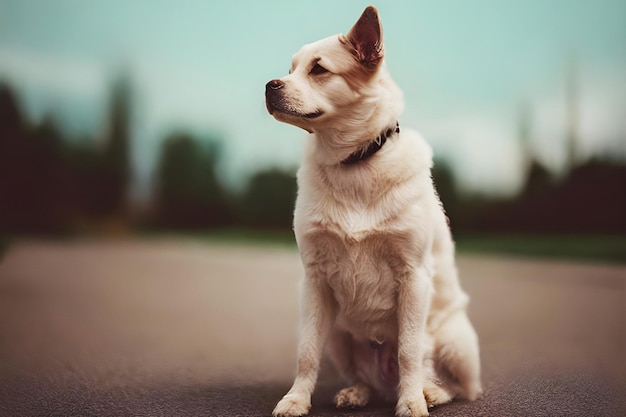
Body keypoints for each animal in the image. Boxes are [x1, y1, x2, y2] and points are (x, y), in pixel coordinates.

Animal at [266, 6, 480, 416]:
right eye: (290, 68)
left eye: (319, 69)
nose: (270, 85)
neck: (354, 163)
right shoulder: (314, 280)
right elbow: (306, 352)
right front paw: (296, 400)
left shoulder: (414, 277)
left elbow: (410, 351)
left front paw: (411, 403)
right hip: (338, 335)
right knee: (363, 377)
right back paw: (358, 393)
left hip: (456, 341)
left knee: (459, 385)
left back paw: (429, 393)